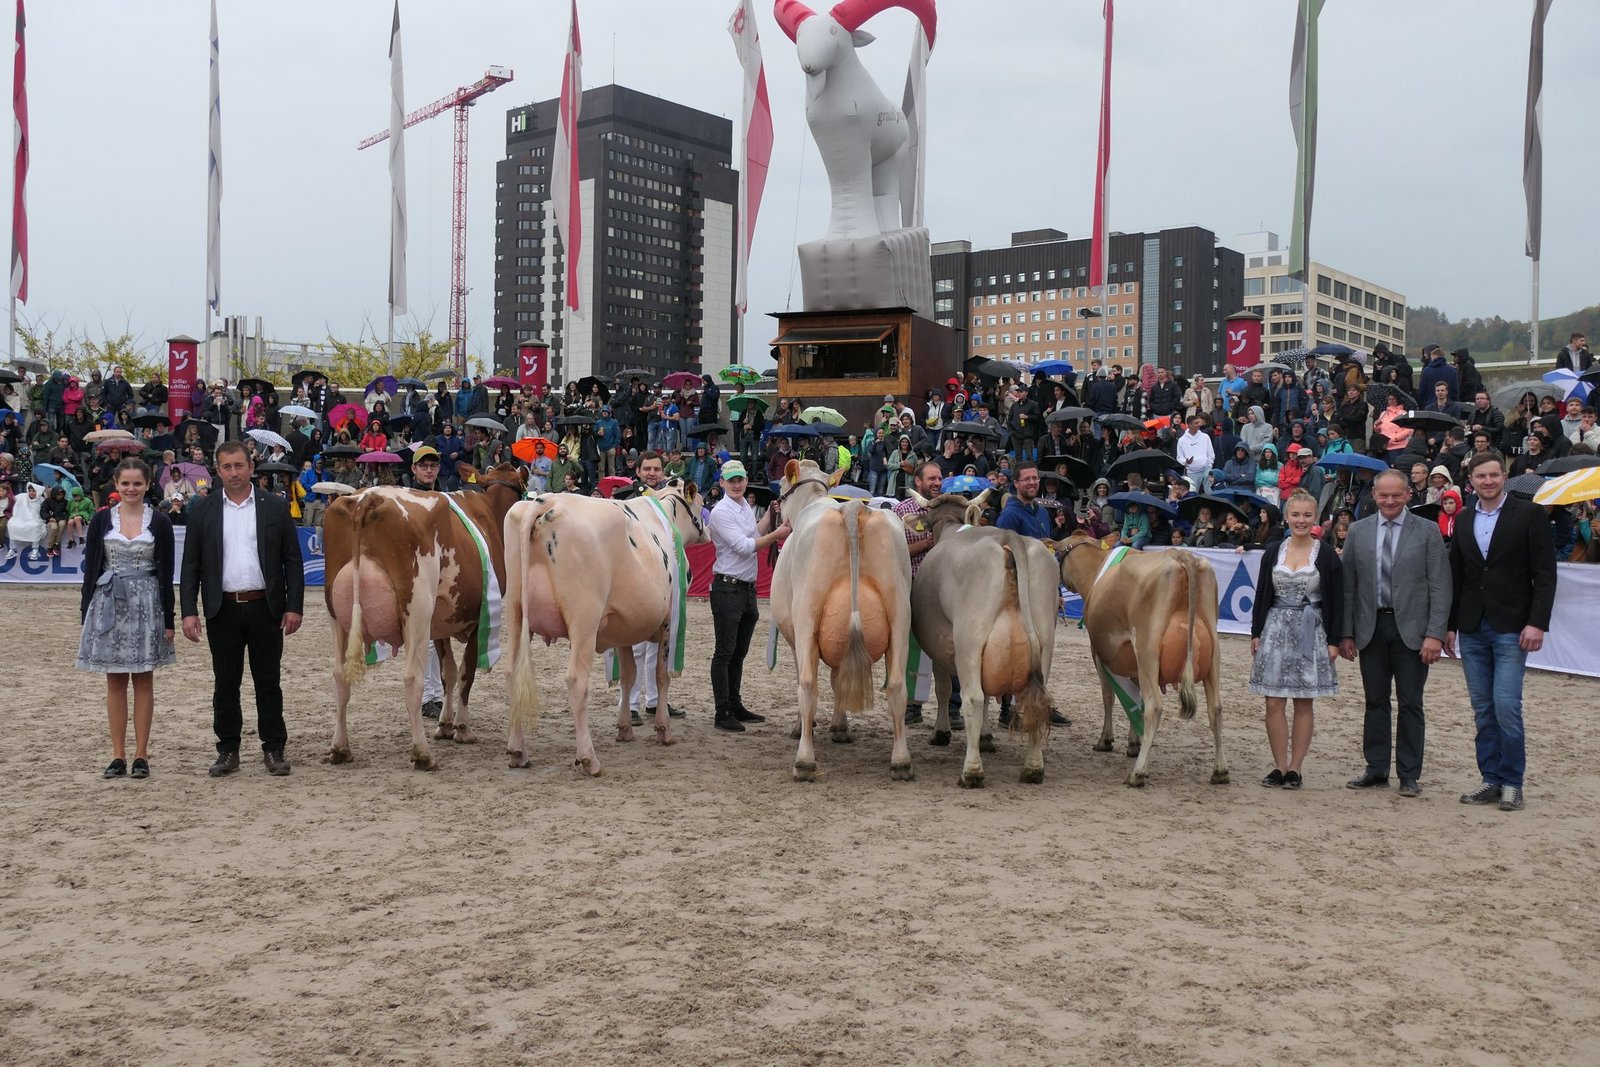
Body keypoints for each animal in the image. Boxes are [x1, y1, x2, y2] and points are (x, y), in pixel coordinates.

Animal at [325, 462, 527, 770]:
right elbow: (466, 673)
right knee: (412, 679)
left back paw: (340, 748)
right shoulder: (479, 616)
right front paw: (462, 728)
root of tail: (367, 498)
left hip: (337, 614)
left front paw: (445, 724)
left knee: (339, 676)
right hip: (417, 608)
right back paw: (422, 754)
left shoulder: (439, 624)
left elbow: (448, 672)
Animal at [500, 479, 707, 776]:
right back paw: (589, 758)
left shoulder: (624, 627)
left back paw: (518, 752)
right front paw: (663, 730)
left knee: (511, 672)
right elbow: (661, 676)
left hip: (515, 613)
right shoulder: (670, 622)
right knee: (576, 680)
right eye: (702, 504)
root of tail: (547, 501)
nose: (708, 532)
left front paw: (624, 728)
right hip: (584, 618)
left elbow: (629, 676)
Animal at [770, 459, 914, 781]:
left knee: (807, 685)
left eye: (782, 490)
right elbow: (839, 679)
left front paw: (805, 728)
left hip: (807, 615)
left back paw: (804, 762)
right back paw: (901, 761)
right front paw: (840, 727)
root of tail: (852, 509)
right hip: (900, 613)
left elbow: (810, 680)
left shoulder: (797, 638)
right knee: (897, 686)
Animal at [906, 489, 1059, 787]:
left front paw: (941, 733)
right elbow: (990, 694)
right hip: (1045, 640)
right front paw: (987, 737)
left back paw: (972, 772)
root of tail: (1008, 537)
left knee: (973, 698)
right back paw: (1033, 768)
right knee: (1038, 702)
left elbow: (945, 690)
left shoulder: (940, 646)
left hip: (969, 639)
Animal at [1057, 533, 1229, 787]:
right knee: (1215, 707)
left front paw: (1106, 740)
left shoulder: (1098, 654)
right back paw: (1220, 771)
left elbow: (1109, 697)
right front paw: (1134, 743)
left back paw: (1138, 773)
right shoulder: (1133, 666)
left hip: (1147, 649)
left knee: (1155, 706)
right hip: (1213, 653)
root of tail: (1181, 556)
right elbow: (1135, 701)